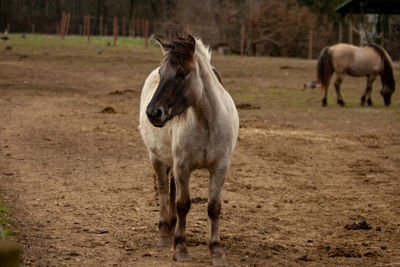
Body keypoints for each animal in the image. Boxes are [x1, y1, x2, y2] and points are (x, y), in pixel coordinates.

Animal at [138, 34, 238, 266]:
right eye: (161, 72)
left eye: (182, 73)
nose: (153, 112)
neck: (208, 122)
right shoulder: (183, 166)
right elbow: (183, 204)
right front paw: (181, 250)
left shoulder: (220, 168)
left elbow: (214, 207)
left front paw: (216, 252)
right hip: (156, 159)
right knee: (164, 192)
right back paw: (165, 234)